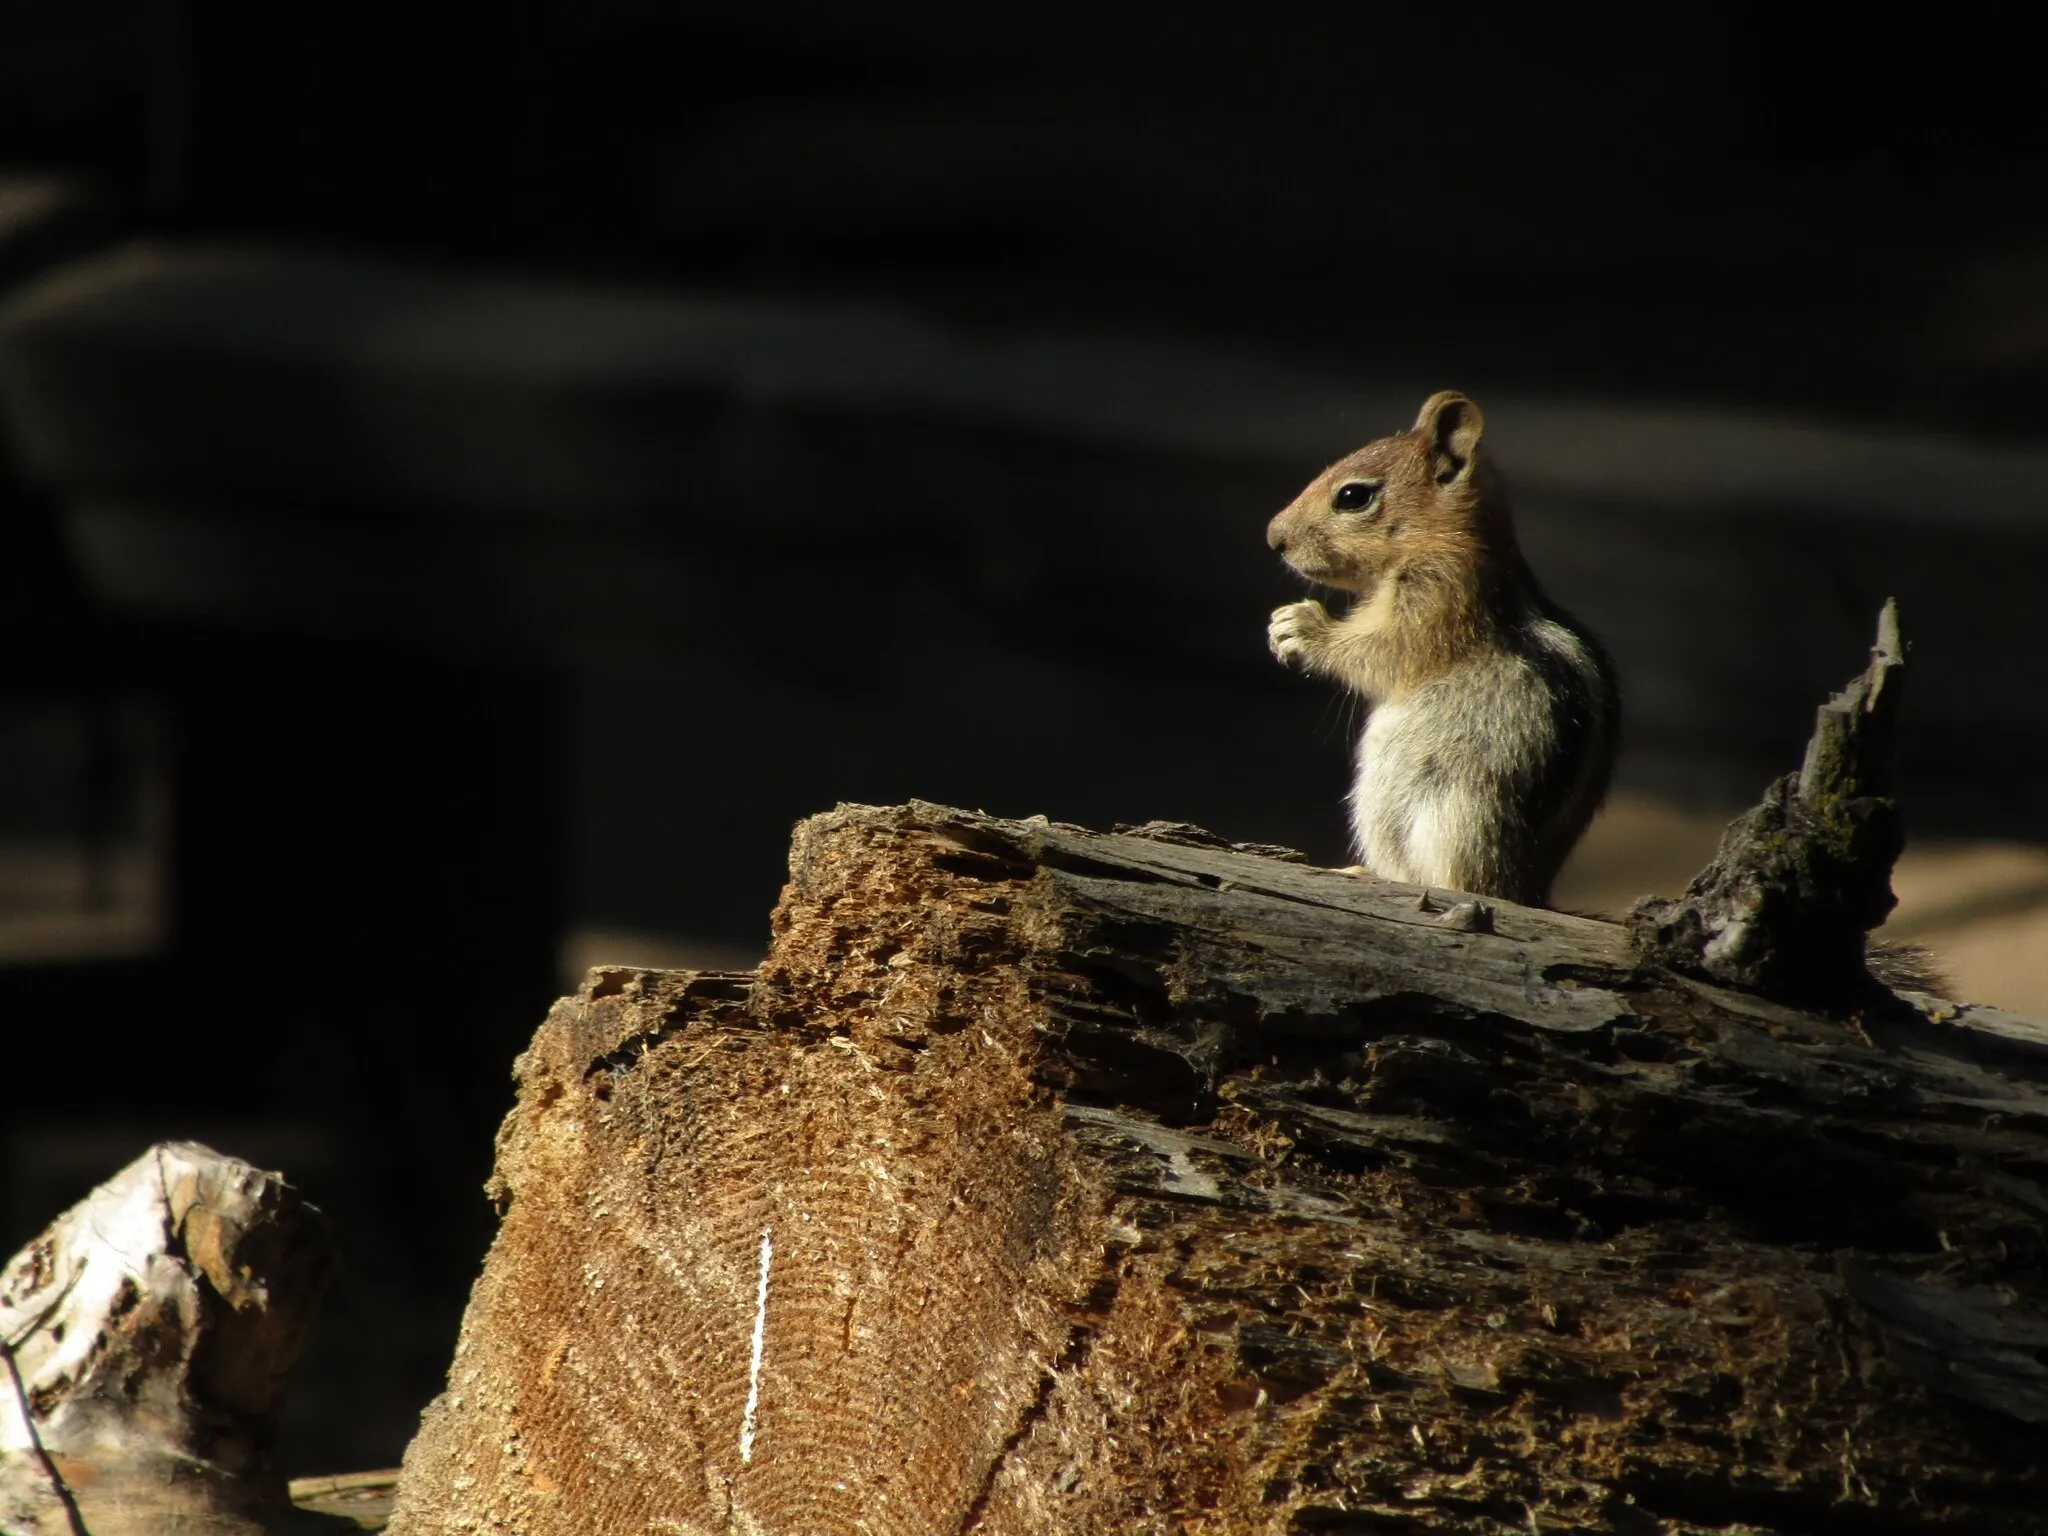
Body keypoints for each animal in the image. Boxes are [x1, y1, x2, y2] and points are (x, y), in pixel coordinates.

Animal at [1266, 390, 1619, 908]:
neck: (1437, 537)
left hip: (1455, 817)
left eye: (1353, 496)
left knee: (1462, 883)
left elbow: (1385, 652)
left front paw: (1302, 628)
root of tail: (1527, 891)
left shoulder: (1441, 595)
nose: (1274, 538)